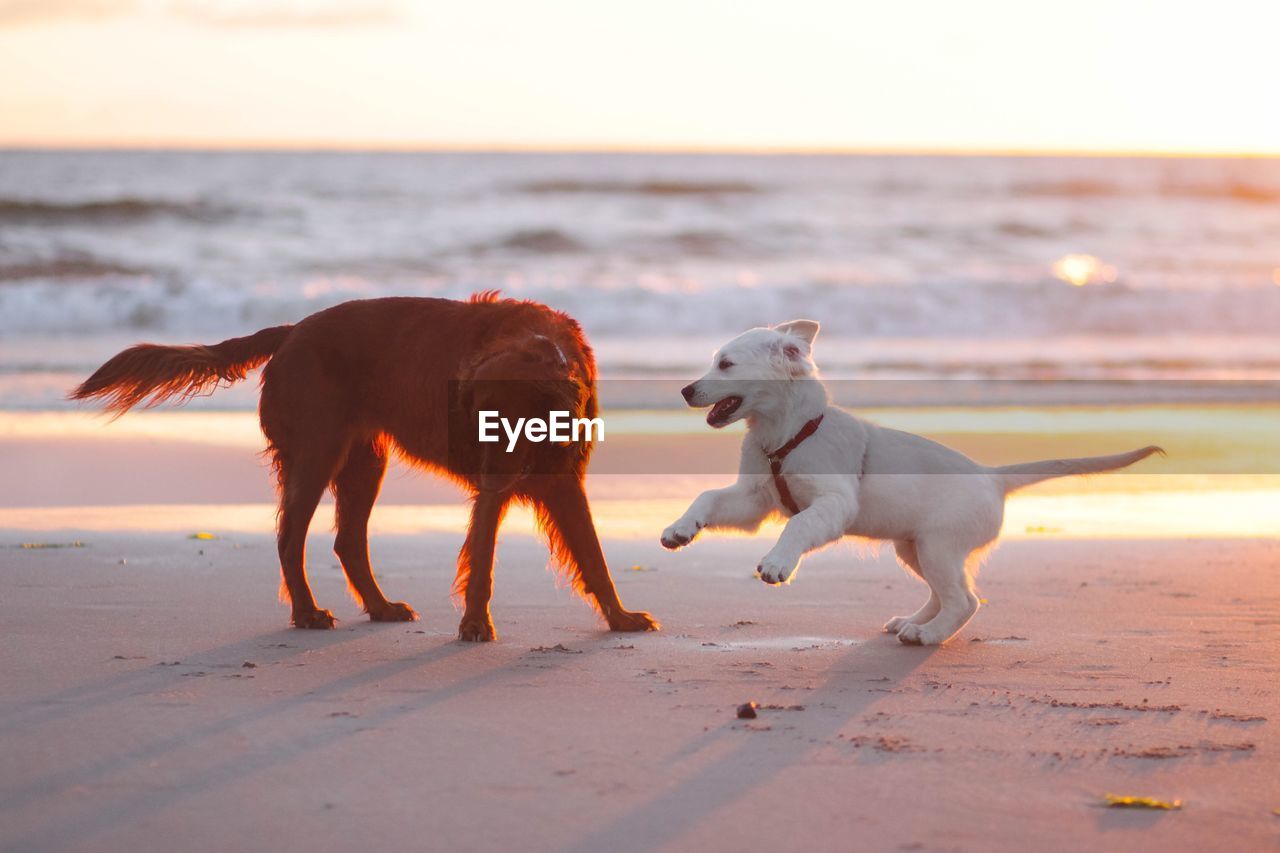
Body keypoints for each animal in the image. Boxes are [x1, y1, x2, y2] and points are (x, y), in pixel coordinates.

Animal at [67, 292, 660, 637]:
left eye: (512, 420)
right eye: (479, 417)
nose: (492, 475)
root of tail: (291, 331)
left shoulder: (562, 482)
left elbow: (594, 557)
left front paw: (621, 618)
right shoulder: (497, 487)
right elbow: (485, 562)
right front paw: (474, 624)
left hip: (363, 462)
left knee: (347, 542)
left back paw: (380, 607)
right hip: (316, 454)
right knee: (292, 539)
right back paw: (308, 614)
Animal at [660, 322, 1162, 640]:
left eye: (726, 365)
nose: (684, 390)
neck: (787, 433)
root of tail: (992, 478)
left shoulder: (833, 502)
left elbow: (798, 525)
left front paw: (778, 564)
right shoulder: (754, 499)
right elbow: (707, 495)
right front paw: (680, 529)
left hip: (939, 546)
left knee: (965, 601)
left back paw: (927, 637)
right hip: (915, 547)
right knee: (951, 594)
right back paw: (913, 623)